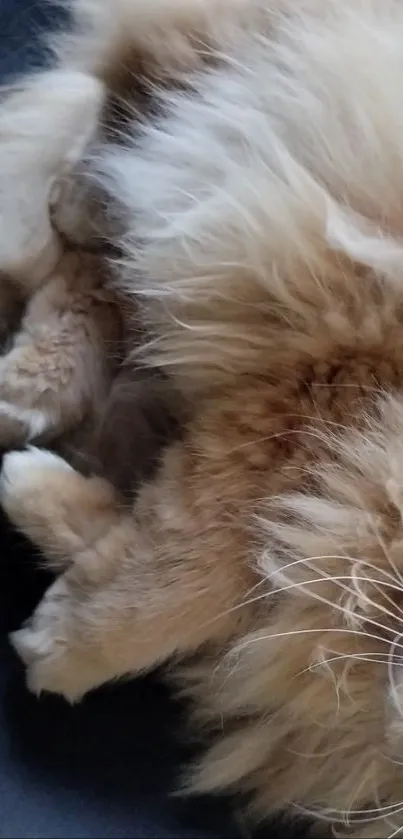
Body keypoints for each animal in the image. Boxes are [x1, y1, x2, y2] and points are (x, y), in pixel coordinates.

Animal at [3, 0, 403, 836]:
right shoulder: (319, 391)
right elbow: (187, 574)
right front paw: (61, 649)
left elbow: (160, 545)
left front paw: (52, 521)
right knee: (113, 145)